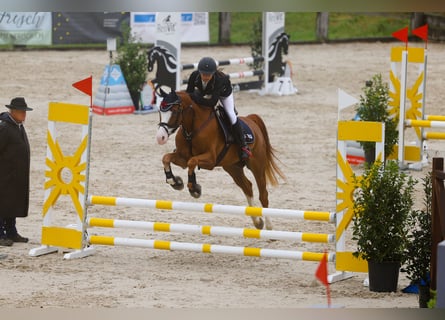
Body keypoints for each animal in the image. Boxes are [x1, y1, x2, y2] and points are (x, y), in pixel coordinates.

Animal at [154, 90, 284, 230]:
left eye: (175, 110)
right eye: (160, 110)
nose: (160, 137)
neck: (193, 129)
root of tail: (251, 120)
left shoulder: (210, 159)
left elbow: (192, 162)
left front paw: (194, 188)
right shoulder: (182, 158)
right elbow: (166, 158)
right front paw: (175, 181)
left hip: (257, 165)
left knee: (263, 194)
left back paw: (269, 226)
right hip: (233, 168)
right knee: (247, 187)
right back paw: (258, 222)